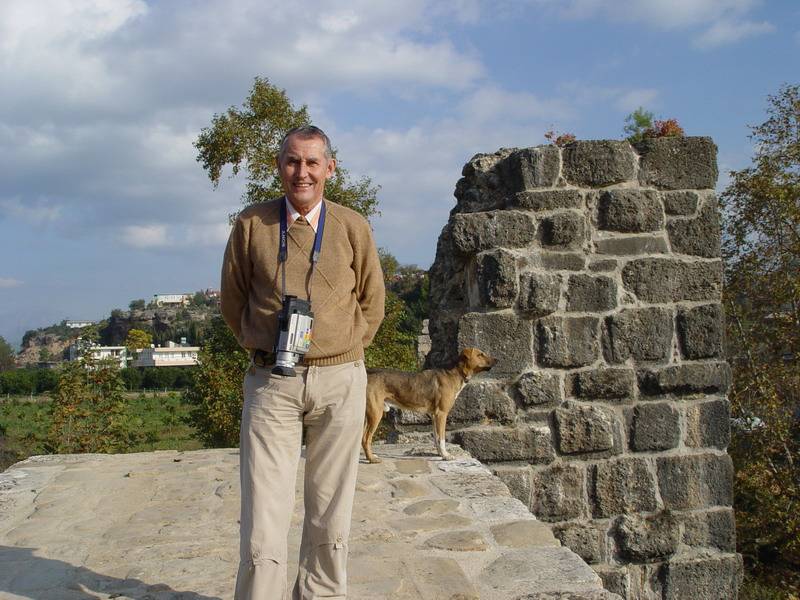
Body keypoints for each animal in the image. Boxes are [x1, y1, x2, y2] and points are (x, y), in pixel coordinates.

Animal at [362, 347, 497, 463]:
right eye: (480, 354)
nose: (496, 360)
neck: (457, 373)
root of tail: (368, 375)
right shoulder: (441, 414)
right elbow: (441, 439)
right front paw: (446, 456)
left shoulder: (433, 415)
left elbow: (436, 438)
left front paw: (440, 454)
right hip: (376, 414)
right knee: (365, 439)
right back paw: (371, 459)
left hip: (367, 416)